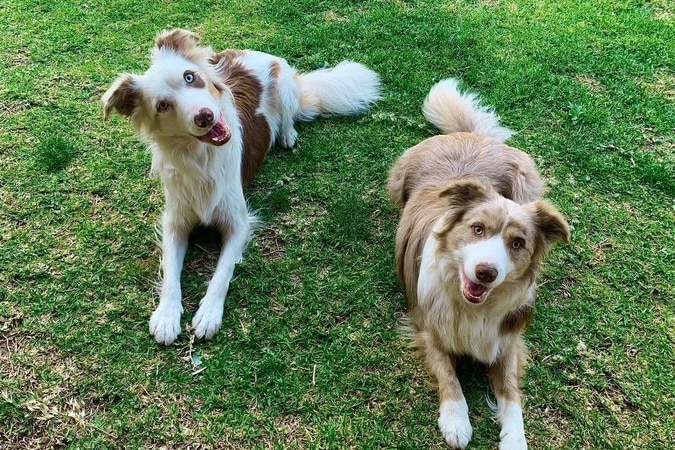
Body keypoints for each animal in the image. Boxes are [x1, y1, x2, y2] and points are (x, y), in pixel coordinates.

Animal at [103, 28, 382, 344]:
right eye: (162, 105)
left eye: (190, 77)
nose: (205, 116)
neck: (201, 157)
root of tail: (251, 53)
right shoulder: (175, 222)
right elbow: (171, 272)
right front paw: (166, 315)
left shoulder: (239, 222)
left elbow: (221, 273)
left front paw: (209, 314)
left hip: (284, 82)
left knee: (289, 117)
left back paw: (287, 135)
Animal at [386, 79, 572, 448]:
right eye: (477, 229)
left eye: (517, 243)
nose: (486, 272)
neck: (473, 309)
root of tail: (468, 134)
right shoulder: (427, 327)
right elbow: (449, 375)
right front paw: (456, 421)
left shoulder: (507, 341)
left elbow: (512, 396)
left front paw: (515, 439)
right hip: (397, 179)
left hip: (526, 183)